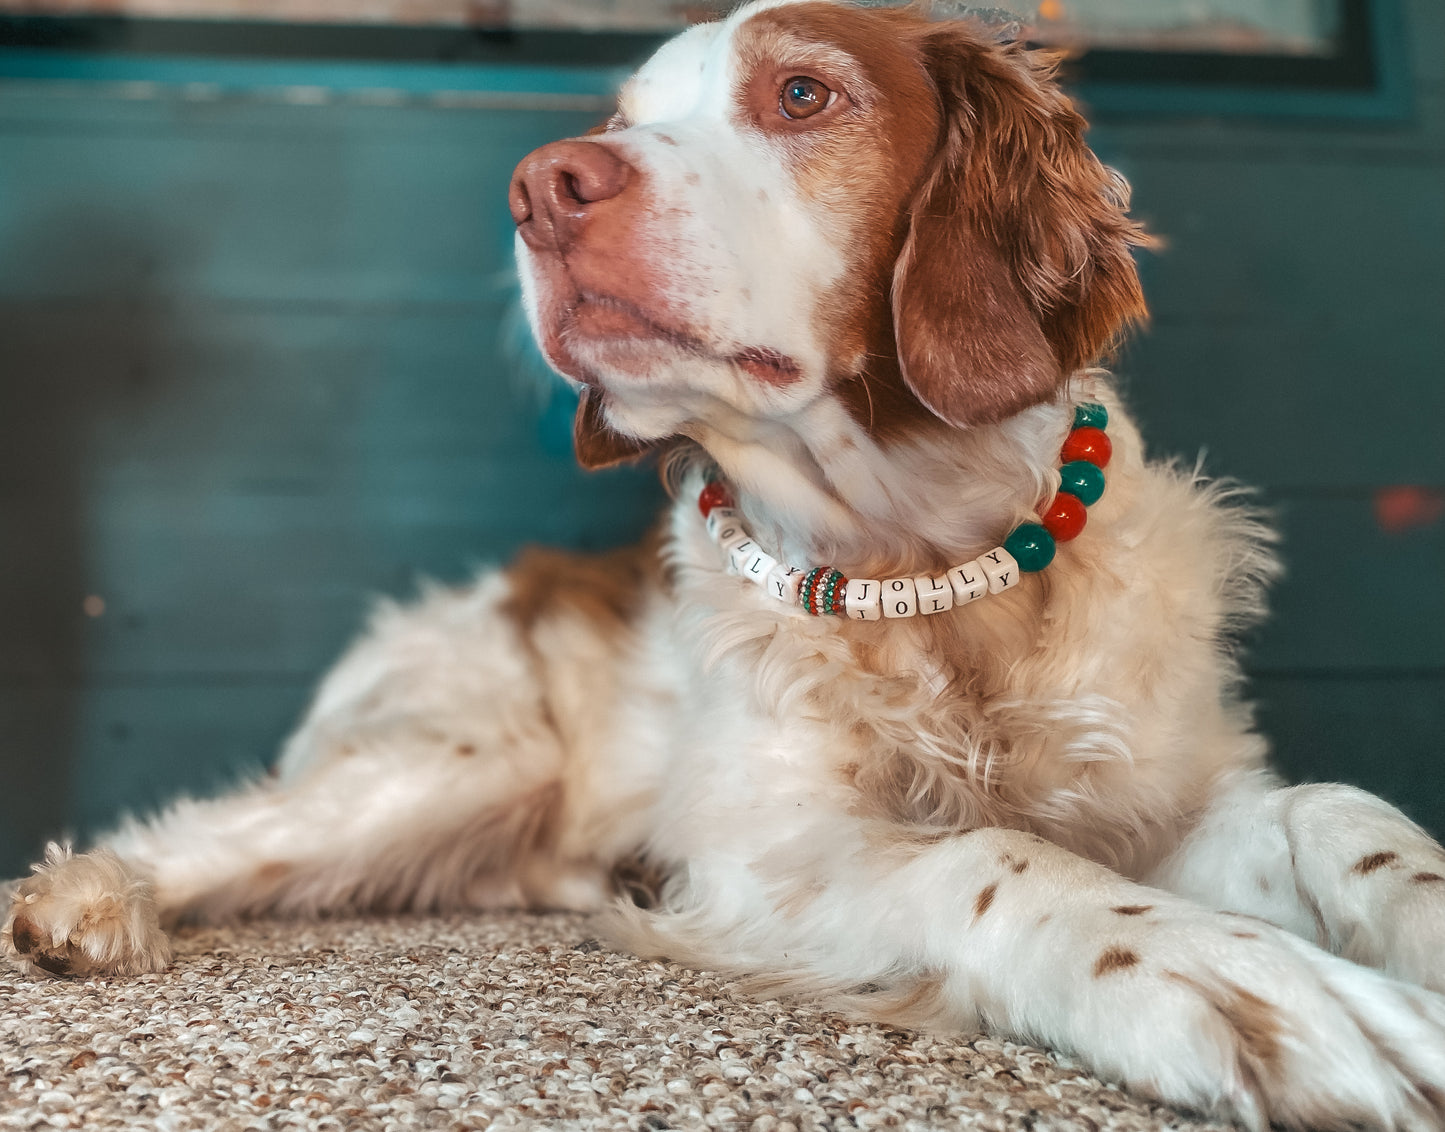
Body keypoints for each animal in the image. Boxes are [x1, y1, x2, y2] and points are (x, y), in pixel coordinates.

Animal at [2, 2, 1445, 1121]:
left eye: (802, 92)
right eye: (621, 112)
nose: (540, 186)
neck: (932, 578)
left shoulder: (1166, 796)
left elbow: (1342, 816)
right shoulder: (765, 855)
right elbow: (988, 857)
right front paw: (1235, 977)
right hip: (467, 758)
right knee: (221, 830)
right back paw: (87, 900)